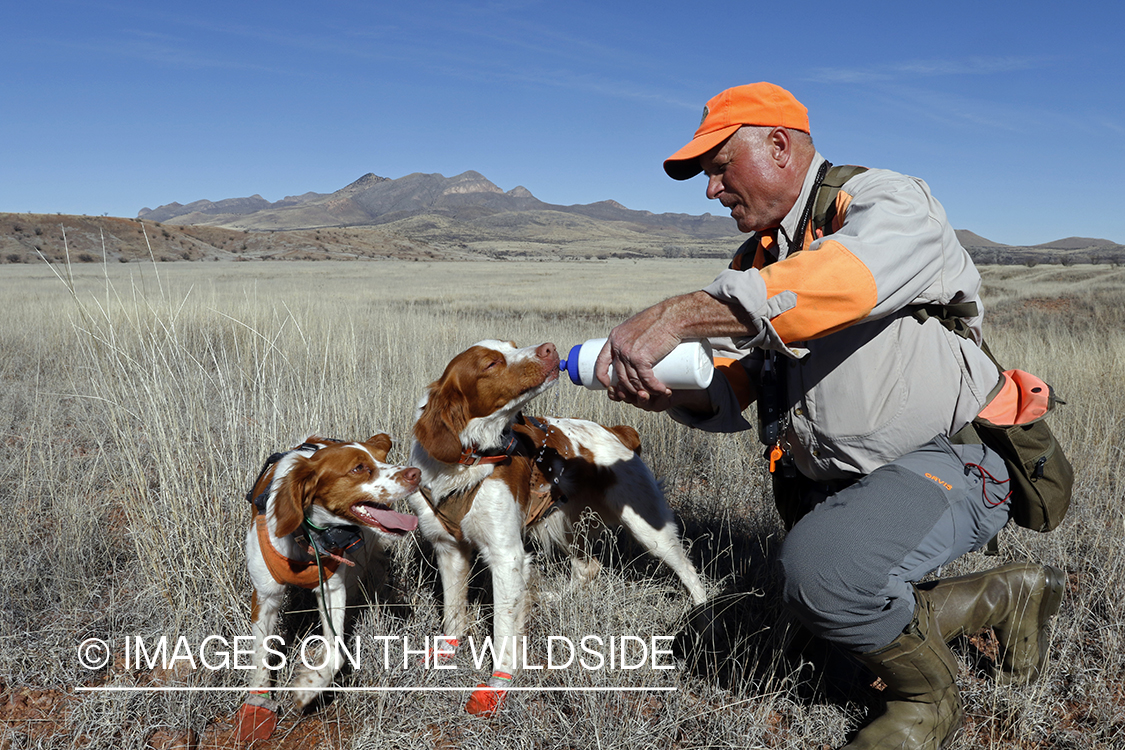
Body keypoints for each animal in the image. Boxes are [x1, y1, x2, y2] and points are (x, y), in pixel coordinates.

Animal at [236, 436, 418, 742]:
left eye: (383, 458)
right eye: (359, 468)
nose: (415, 473)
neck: (307, 538)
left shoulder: (332, 589)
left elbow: (336, 653)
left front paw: (307, 686)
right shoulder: (265, 596)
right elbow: (261, 655)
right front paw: (257, 707)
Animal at [407, 339, 702, 715]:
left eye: (513, 346)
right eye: (491, 363)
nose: (548, 348)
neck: (468, 460)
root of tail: (616, 432)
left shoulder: (505, 555)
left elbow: (503, 627)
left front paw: (498, 683)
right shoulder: (449, 548)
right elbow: (452, 611)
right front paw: (444, 653)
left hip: (648, 526)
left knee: (688, 570)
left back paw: (702, 609)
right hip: (566, 524)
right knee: (587, 568)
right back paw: (548, 596)